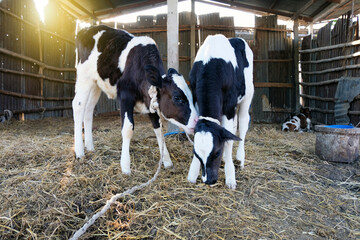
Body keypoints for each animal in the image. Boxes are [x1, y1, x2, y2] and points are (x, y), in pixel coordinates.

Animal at [72, 24, 197, 174]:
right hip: (84, 77)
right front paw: (125, 166)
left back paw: (90, 147)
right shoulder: (125, 96)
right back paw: (79, 151)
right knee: (78, 105)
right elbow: (128, 128)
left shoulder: (152, 103)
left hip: (96, 83)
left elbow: (159, 130)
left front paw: (166, 161)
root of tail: (87, 28)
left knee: (89, 109)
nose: (197, 121)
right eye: (177, 98)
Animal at [187, 33, 255, 189]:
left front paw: (230, 177)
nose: (209, 180)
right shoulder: (195, 97)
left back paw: (240, 159)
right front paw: (193, 172)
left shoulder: (229, 104)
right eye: (197, 154)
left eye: (217, 153)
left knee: (243, 124)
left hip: (248, 95)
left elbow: (228, 141)